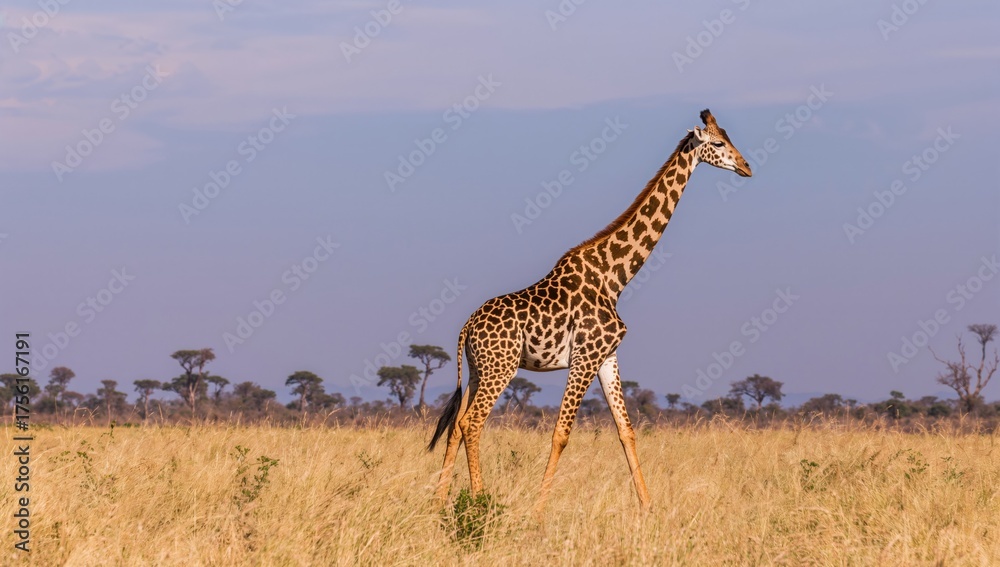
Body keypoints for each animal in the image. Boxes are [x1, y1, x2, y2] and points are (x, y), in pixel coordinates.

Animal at [428, 109, 752, 513]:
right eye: (719, 143)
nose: (746, 167)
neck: (614, 277)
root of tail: (466, 328)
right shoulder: (585, 357)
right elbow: (561, 434)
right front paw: (539, 512)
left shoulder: (607, 356)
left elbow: (626, 431)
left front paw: (648, 508)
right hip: (501, 368)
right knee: (472, 423)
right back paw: (479, 500)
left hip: (477, 370)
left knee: (456, 425)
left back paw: (439, 501)